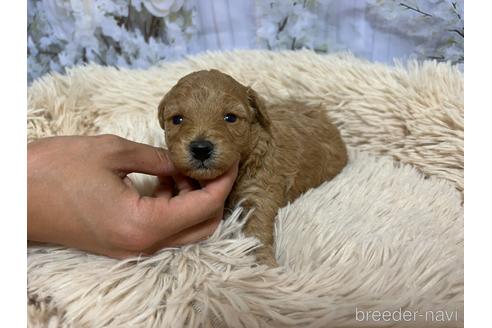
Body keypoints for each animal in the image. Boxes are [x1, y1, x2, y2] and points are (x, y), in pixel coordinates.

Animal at [158, 70, 346, 266]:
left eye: (230, 118)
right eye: (177, 119)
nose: (201, 149)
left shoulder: (259, 191)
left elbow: (257, 229)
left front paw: (264, 263)